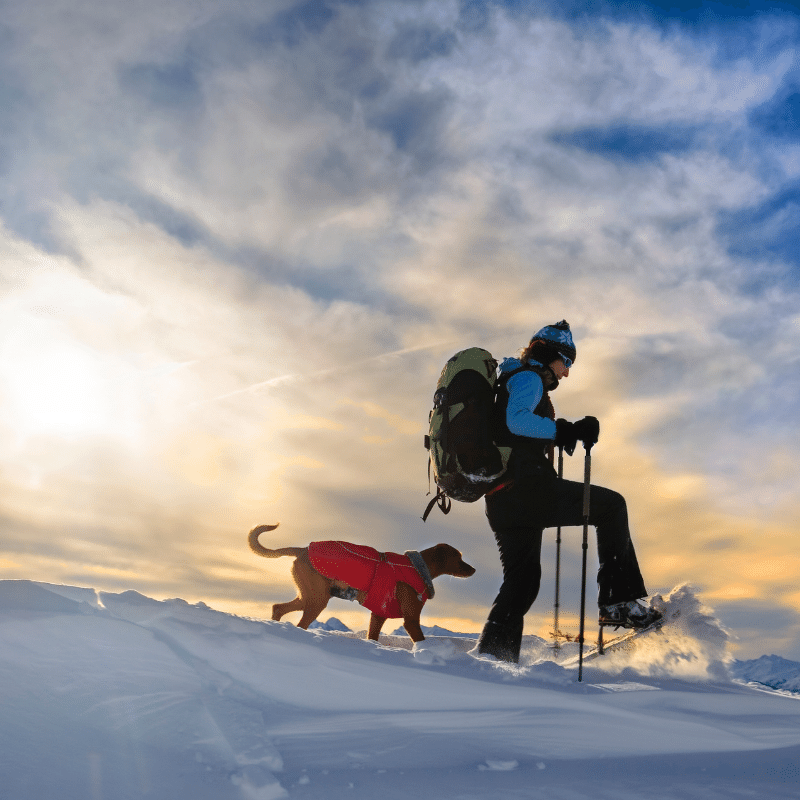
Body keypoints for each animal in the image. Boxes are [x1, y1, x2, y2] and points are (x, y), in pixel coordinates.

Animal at [250, 524, 476, 644]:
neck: (417, 567)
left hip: (308, 595)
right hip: (317, 599)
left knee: (278, 607)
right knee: (299, 622)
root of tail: (303, 549)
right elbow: (419, 638)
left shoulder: (378, 614)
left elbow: (372, 635)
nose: (473, 569)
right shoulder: (411, 619)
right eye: (458, 558)